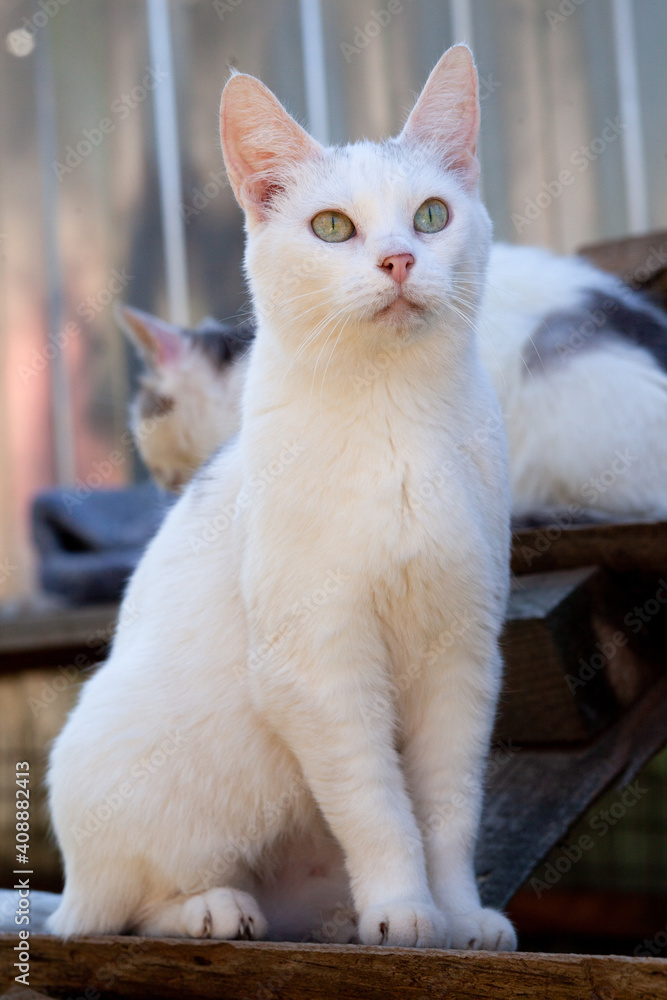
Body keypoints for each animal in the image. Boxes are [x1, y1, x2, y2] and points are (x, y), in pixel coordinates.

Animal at [48, 47, 516, 948]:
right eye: (331, 227)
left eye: (431, 216)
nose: (399, 259)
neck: (391, 416)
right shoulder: (319, 662)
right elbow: (377, 805)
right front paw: (405, 910)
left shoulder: (461, 652)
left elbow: (447, 809)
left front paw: (458, 914)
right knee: (128, 909)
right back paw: (217, 909)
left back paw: (335, 916)